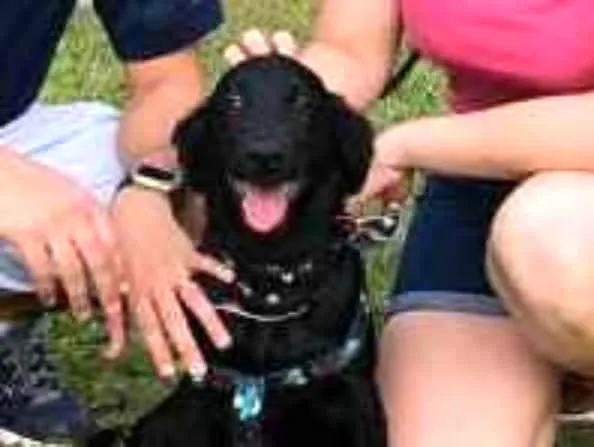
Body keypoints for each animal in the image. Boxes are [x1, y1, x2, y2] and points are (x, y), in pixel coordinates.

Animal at [89, 55, 386, 447]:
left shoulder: (355, 401)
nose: (264, 156)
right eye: (234, 102)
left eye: (302, 103)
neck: (271, 281)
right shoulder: (209, 397)